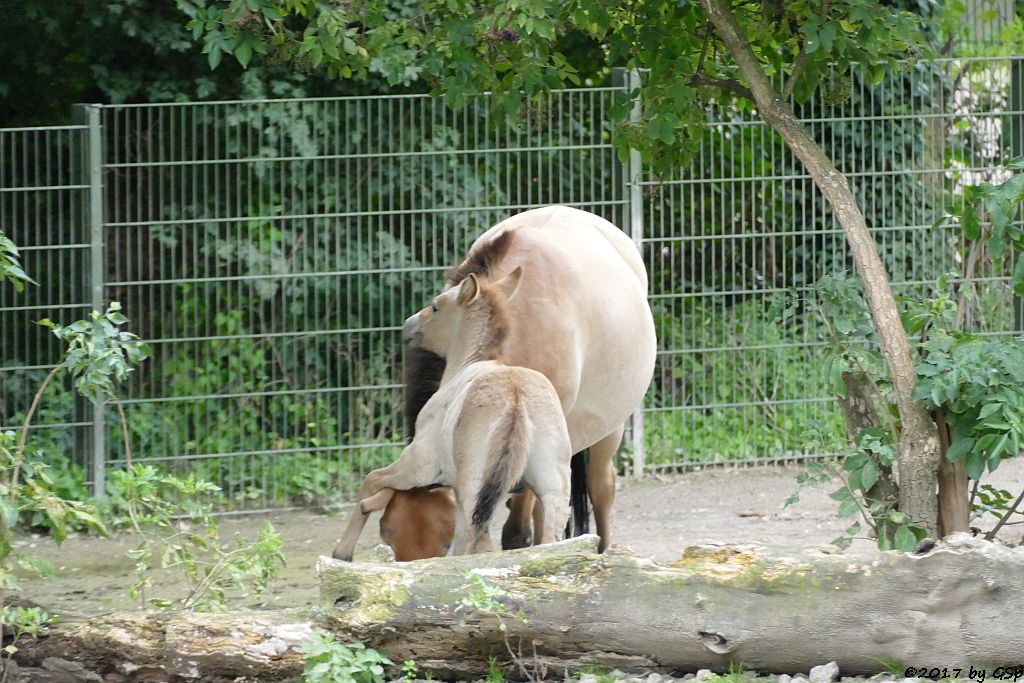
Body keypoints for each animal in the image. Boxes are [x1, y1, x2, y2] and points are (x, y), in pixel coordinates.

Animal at [331, 266, 573, 561]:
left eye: (436, 306)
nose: (408, 325)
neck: (469, 365)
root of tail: (516, 397)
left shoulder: (418, 464)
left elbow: (371, 479)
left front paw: (342, 551)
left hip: (474, 491)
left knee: (477, 541)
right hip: (552, 492)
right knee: (548, 542)